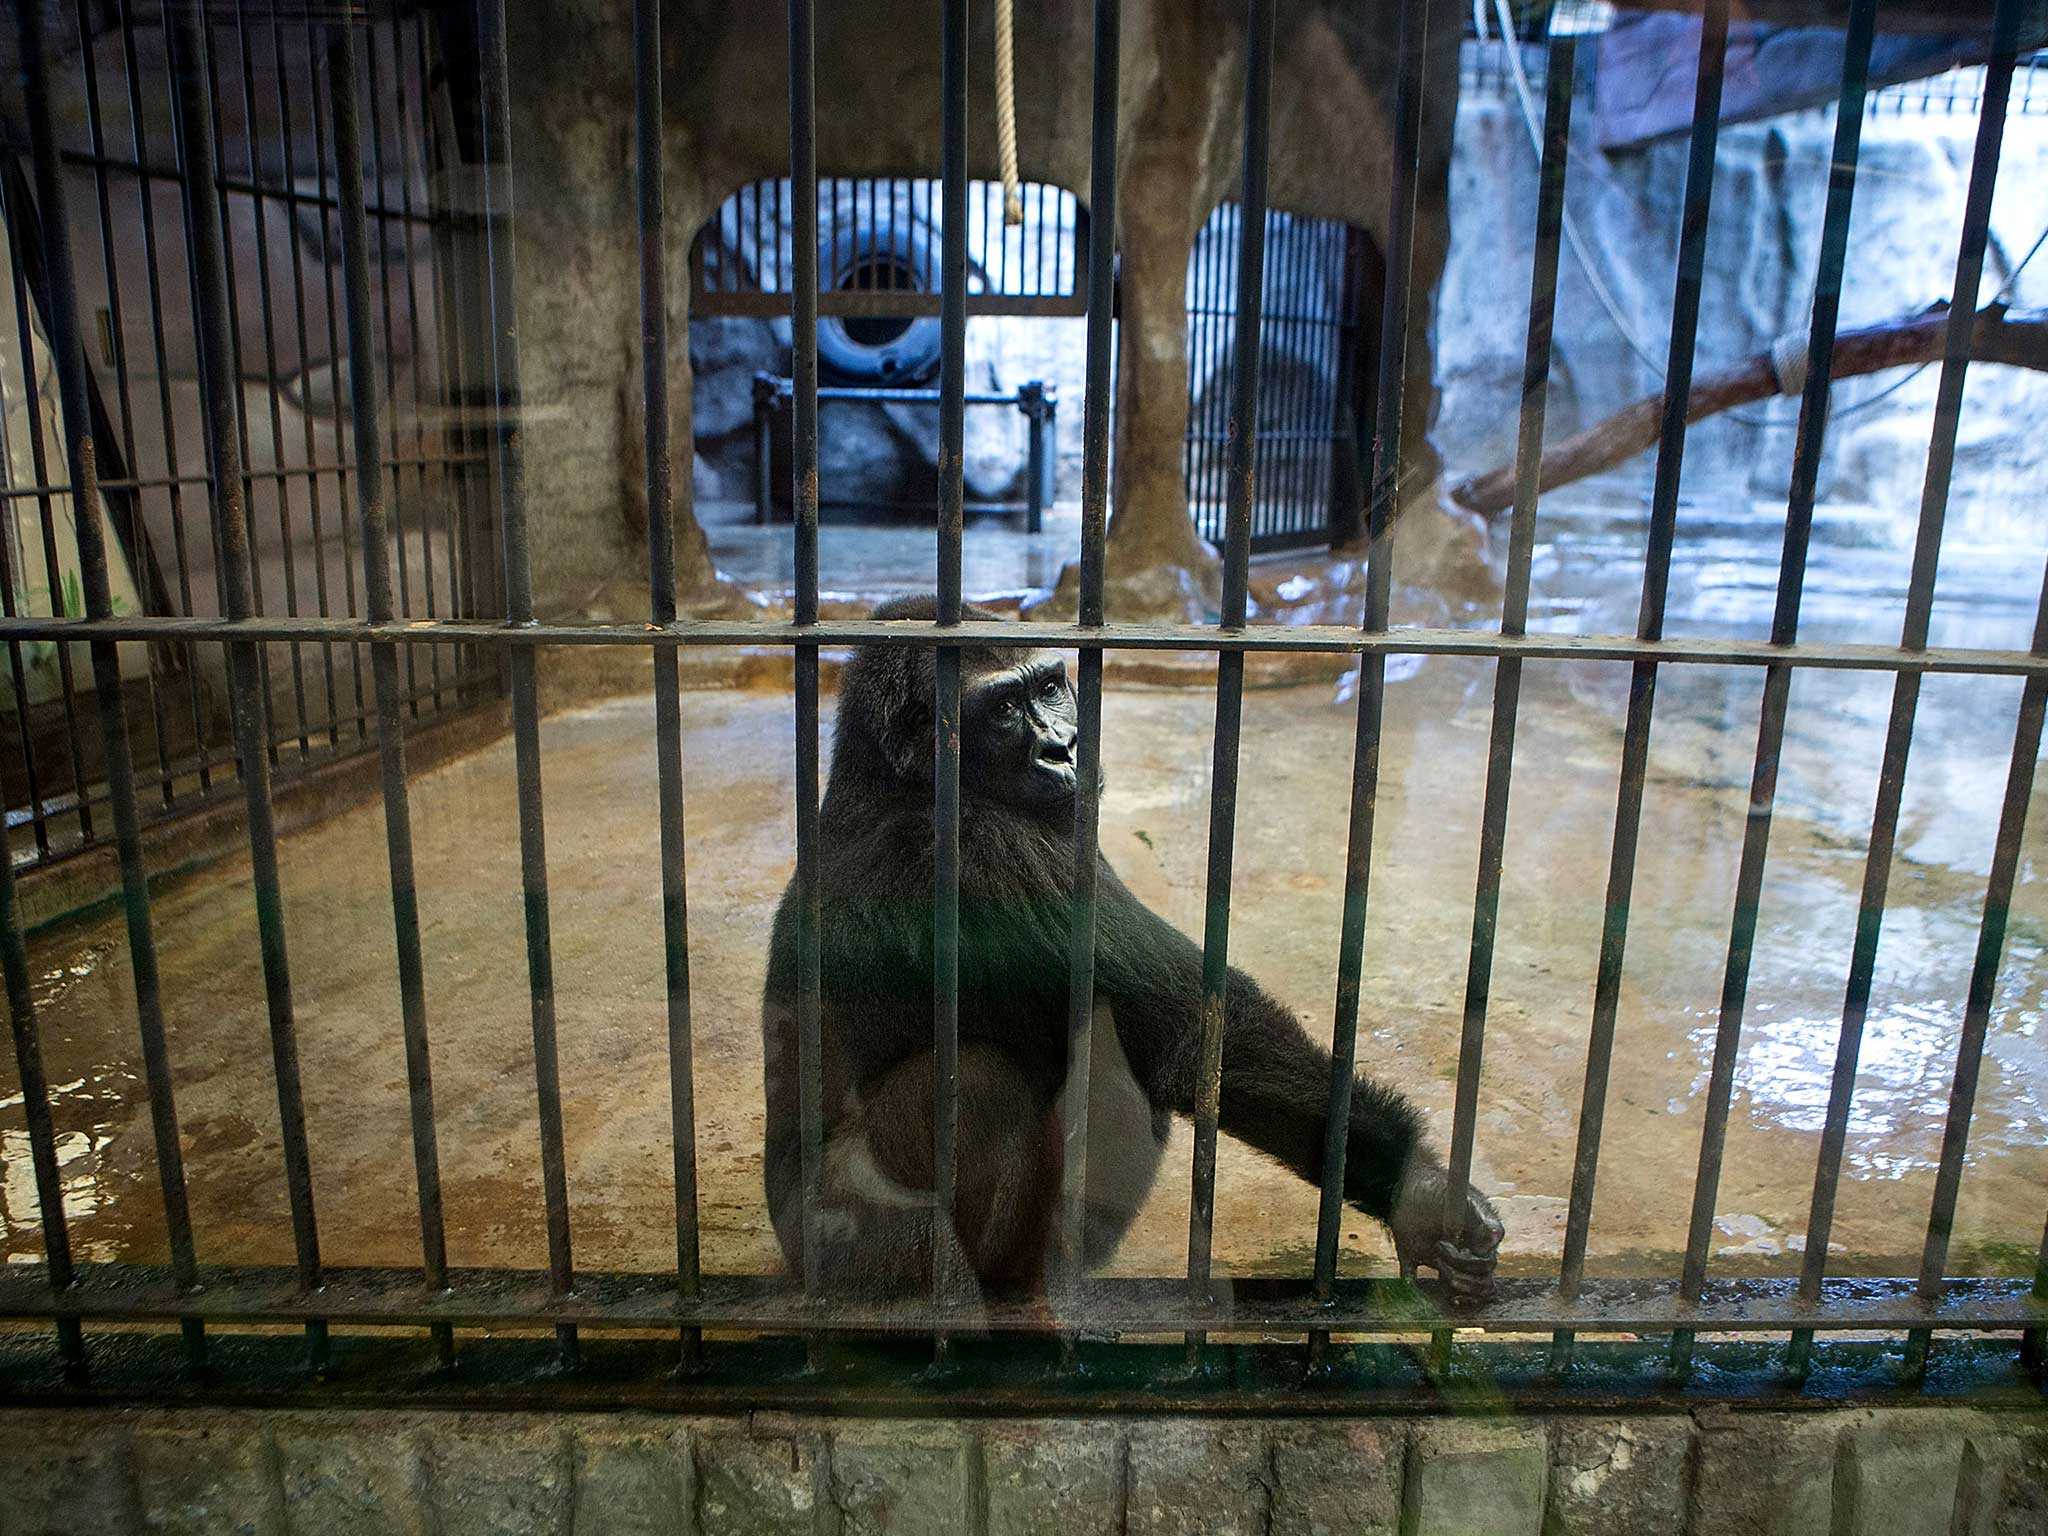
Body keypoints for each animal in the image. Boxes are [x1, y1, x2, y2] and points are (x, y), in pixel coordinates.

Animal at [761, 593, 1499, 1302]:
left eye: (1050, 687)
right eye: (1003, 710)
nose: (1062, 748)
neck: (893, 778)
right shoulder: (984, 849)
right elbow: (1188, 1031)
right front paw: (1418, 1194)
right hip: (858, 1254)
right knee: (986, 1084)